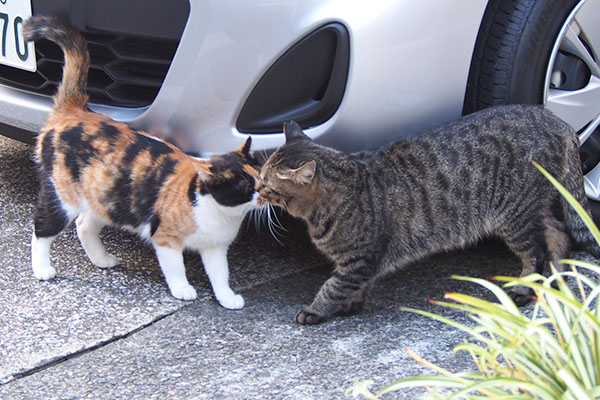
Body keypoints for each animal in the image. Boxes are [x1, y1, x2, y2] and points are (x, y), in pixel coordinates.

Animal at [24, 16, 260, 310]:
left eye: (260, 176)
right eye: (245, 186)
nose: (264, 193)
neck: (219, 213)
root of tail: (75, 110)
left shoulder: (215, 248)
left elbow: (220, 274)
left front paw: (227, 298)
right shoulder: (166, 240)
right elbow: (176, 268)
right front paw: (183, 289)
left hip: (105, 199)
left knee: (84, 225)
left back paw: (101, 259)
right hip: (61, 197)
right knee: (41, 230)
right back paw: (41, 268)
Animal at [258, 107, 600, 324]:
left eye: (266, 182)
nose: (256, 189)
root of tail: (557, 120)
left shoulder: (361, 258)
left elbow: (334, 286)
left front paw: (316, 310)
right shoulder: (361, 261)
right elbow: (353, 286)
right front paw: (350, 304)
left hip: (514, 214)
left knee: (536, 253)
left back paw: (525, 287)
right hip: (532, 208)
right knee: (559, 233)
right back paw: (556, 278)